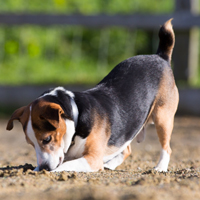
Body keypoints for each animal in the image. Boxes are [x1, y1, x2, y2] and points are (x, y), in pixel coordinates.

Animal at [6, 19, 178, 172]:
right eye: (30, 143)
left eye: (47, 139)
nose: (44, 168)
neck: (76, 117)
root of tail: (160, 56)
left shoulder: (92, 159)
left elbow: (64, 166)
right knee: (126, 148)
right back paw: (111, 164)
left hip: (163, 118)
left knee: (166, 148)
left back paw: (160, 168)